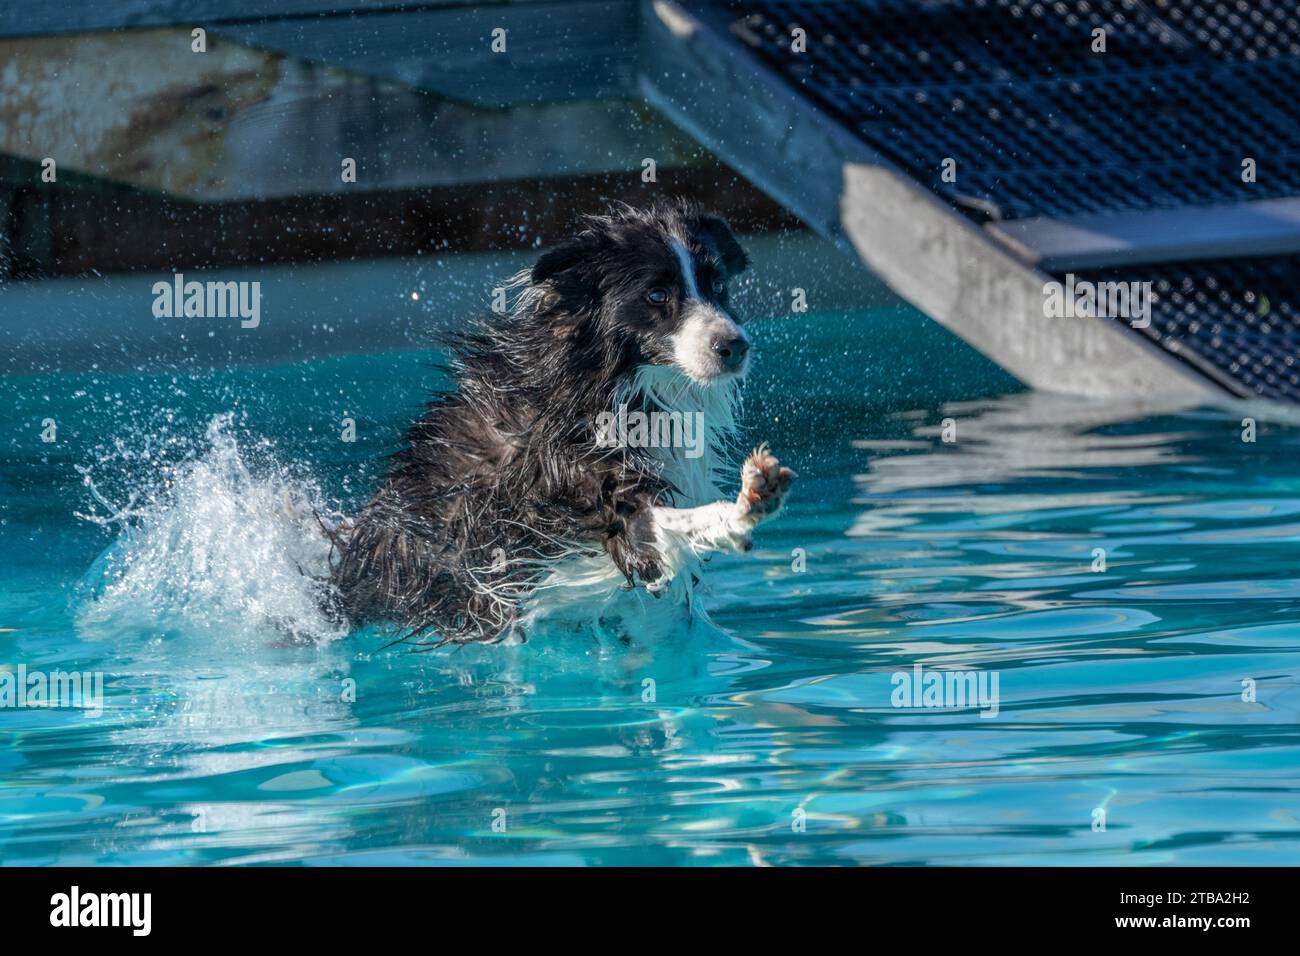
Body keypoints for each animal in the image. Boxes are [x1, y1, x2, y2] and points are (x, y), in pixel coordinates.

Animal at [327, 197, 790, 647]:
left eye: (719, 286)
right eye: (657, 294)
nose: (735, 347)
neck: (615, 389)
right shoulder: (577, 488)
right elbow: (658, 525)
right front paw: (741, 509)